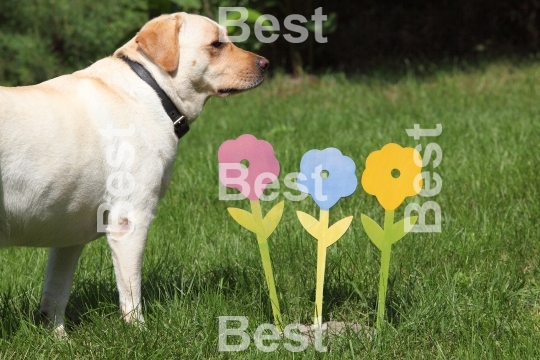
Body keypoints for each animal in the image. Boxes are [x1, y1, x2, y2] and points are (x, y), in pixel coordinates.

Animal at [0, 12, 268, 336]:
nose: (266, 63)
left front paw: (59, 338)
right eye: (217, 44)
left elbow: (55, 295)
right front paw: (139, 333)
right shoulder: (129, 221)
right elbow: (131, 293)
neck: (152, 92)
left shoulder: (67, 236)